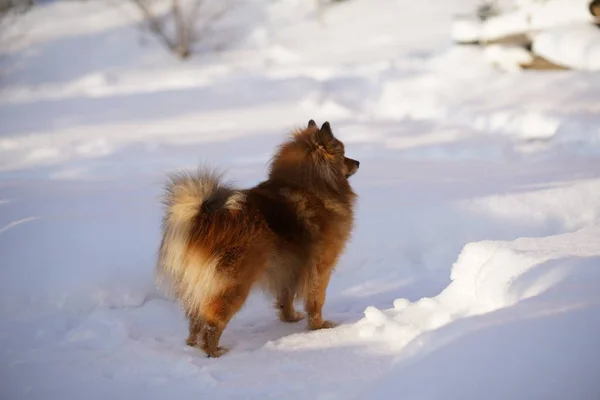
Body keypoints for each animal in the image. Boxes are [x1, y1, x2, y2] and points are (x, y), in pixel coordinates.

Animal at [157, 120, 358, 358]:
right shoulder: (320, 266)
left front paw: (290, 318)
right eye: (343, 153)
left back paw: (191, 345)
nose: (357, 162)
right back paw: (215, 352)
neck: (312, 186)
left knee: (195, 320)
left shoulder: (289, 267)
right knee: (212, 321)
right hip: (234, 285)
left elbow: (286, 297)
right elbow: (316, 300)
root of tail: (205, 219)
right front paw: (319, 327)